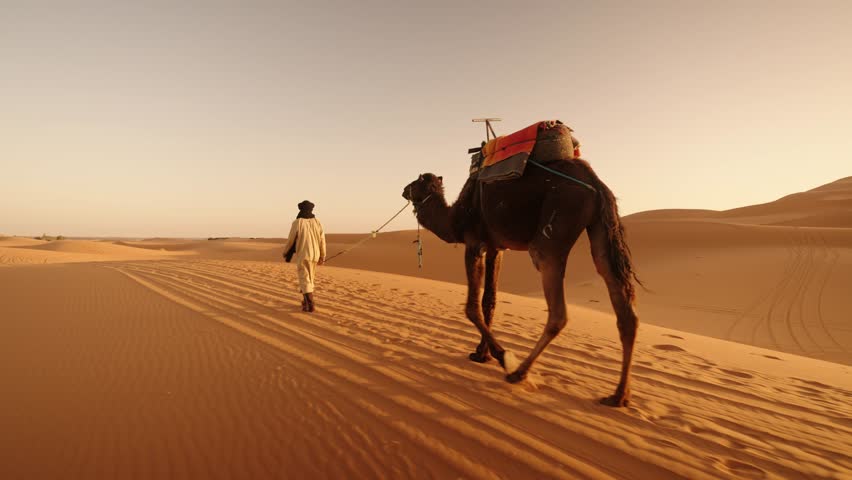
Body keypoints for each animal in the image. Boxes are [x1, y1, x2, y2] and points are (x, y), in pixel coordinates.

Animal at [402, 155, 640, 407]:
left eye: (415, 182)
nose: (403, 190)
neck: (455, 218)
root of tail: (596, 183)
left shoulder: (474, 243)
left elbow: (472, 307)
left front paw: (502, 355)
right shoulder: (496, 247)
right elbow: (489, 301)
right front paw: (481, 354)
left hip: (555, 227)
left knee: (558, 312)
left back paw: (518, 372)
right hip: (601, 230)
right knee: (624, 309)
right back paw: (618, 396)